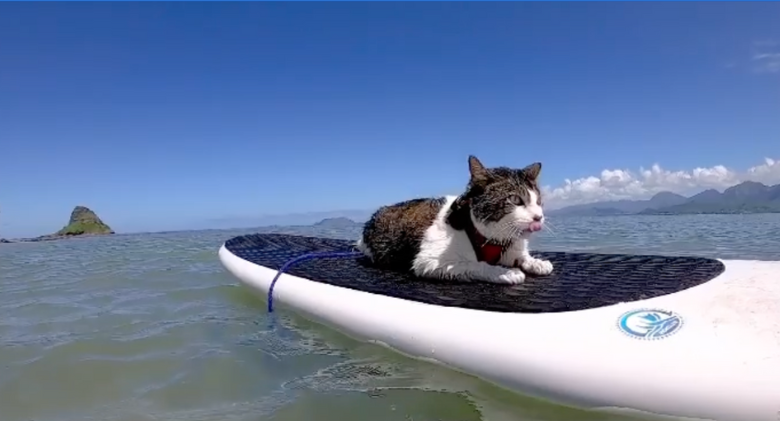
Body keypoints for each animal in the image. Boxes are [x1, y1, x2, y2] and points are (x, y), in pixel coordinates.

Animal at [356, 155, 552, 286]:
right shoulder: (430, 263)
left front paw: (536, 262)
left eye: (538, 201)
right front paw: (504, 272)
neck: (494, 238)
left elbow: (521, 257)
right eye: (516, 200)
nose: (538, 217)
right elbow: (475, 264)